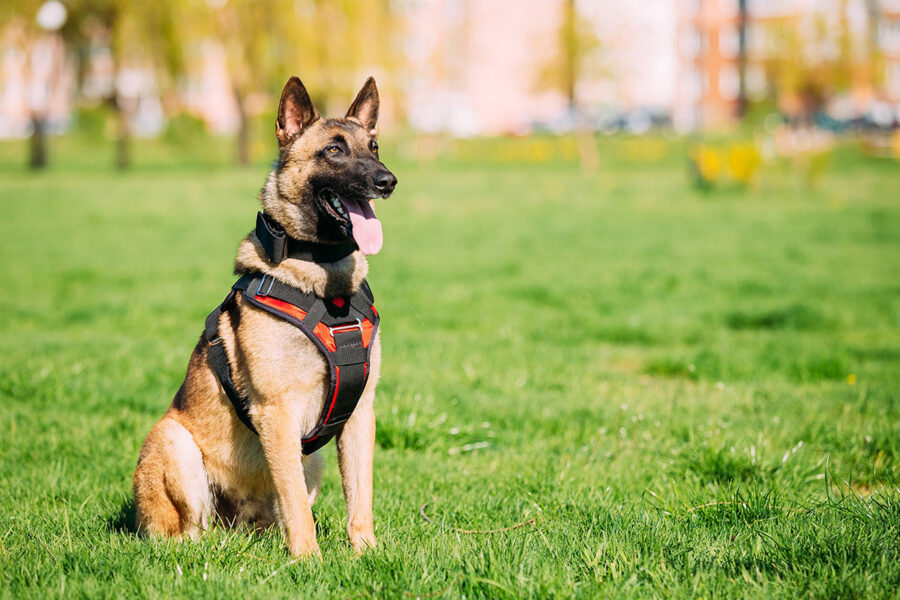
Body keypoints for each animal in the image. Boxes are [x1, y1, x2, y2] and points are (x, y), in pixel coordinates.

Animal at [133, 76, 398, 556]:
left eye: (374, 147)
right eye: (334, 150)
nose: (387, 181)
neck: (323, 281)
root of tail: (234, 526)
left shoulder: (360, 414)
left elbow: (360, 496)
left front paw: (365, 551)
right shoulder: (277, 413)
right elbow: (294, 502)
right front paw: (309, 559)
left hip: (311, 460)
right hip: (176, 445)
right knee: (188, 535)